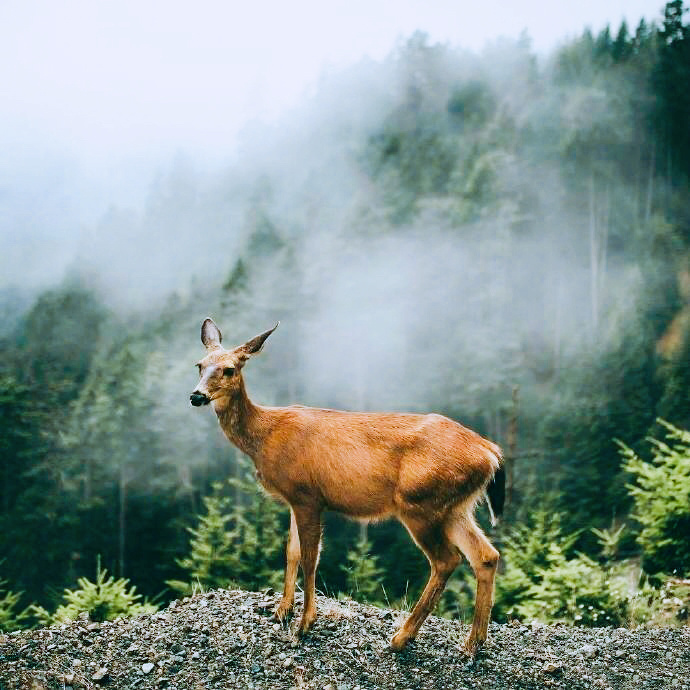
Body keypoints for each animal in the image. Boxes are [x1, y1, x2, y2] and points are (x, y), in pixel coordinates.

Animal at [191, 318, 502, 652]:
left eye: (229, 369)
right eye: (200, 365)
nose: (196, 396)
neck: (265, 437)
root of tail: (490, 452)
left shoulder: (307, 495)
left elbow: (310, 558)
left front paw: (305, 623)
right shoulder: (295, 498)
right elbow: (292, 551)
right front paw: (281, 611)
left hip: (420, 503)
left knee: (447, 560)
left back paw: (402, 637)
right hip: (455, 507)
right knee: (486, 556)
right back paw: (474, 642)